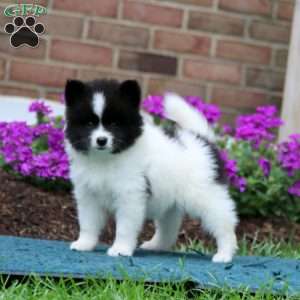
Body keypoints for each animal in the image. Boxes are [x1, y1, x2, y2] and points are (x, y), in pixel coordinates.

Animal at [64, 79, 238, 262]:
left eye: (114, 124)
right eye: (89, 123)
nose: (101, 140)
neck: (105, 159)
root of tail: (202, 139)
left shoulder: (130, 196)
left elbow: (125, 227)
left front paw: (120, 250)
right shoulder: (88, 196)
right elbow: (88, 223)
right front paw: (84, 244)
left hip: (205, 196)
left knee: (223, 223)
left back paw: (225, 254)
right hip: (171, 203)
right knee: (168, 229)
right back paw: (155, 246)